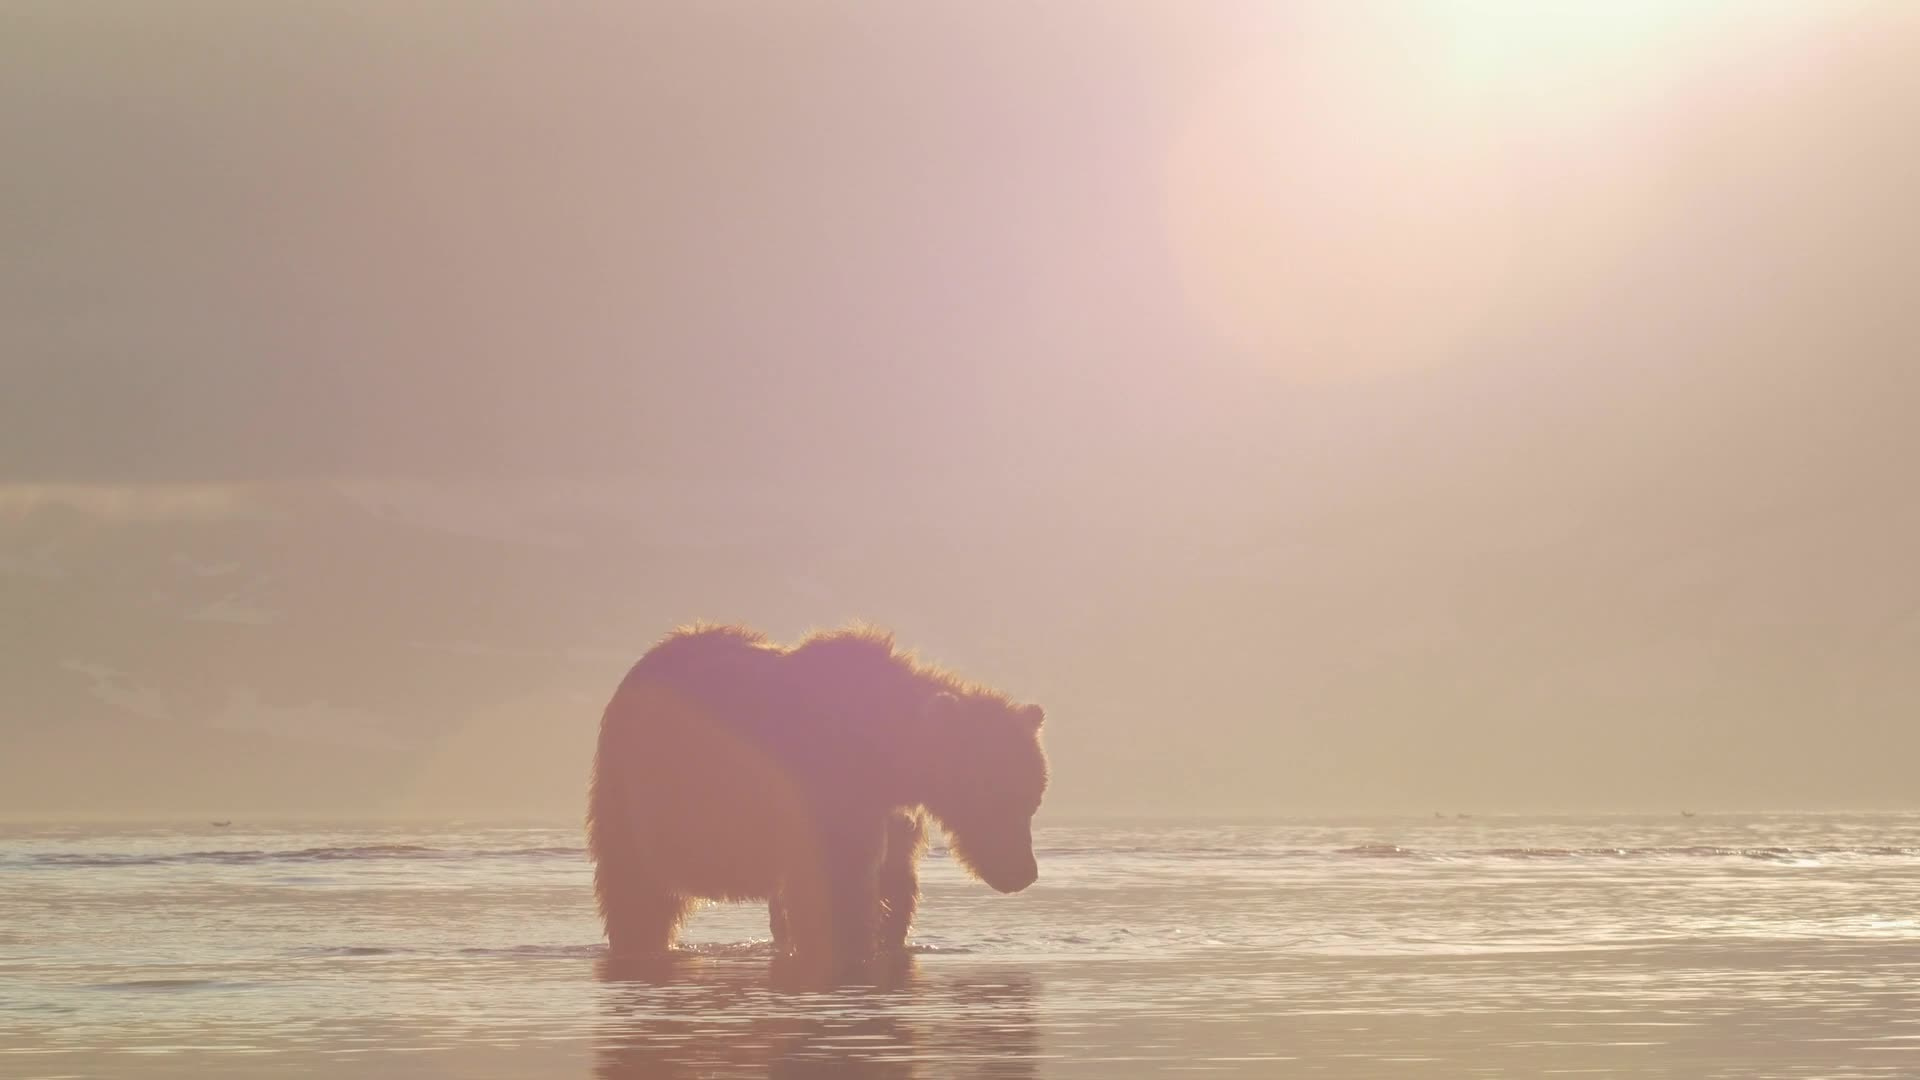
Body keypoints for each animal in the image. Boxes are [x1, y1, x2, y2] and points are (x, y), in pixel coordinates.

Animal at [591, 622, 1059, 968]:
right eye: (994, 799)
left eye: (1031, 800)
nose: (1023, 873)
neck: (888, 760)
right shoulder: (829, 794)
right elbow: (839, 888)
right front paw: (851, 946)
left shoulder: (892, 816)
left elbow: (894, 885)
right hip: (640, 791)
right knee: (635, 888)